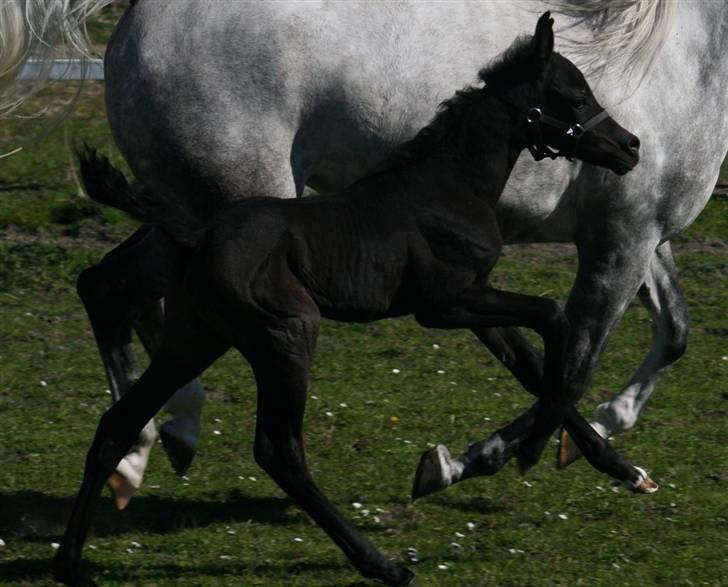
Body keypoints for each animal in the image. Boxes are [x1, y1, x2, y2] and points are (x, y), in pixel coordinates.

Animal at [54, 14, 640, 587]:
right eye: (577, 96)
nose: (630, 146)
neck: (449, 187)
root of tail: (198, 235)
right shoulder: (446, 306)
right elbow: (553, 317)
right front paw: (537, 448)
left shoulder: (475, 303)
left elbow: (531, 364)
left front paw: (624, 469)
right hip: (287, 334)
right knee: (279, 452)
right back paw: (383, 564)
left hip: (195, 338)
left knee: (117, 422)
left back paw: (73, 563)